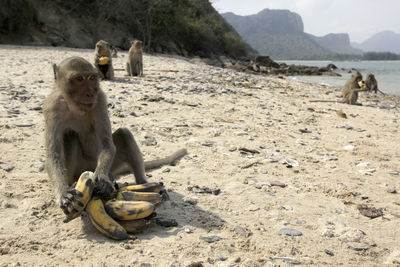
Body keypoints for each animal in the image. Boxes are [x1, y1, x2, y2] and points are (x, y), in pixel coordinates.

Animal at [43, 56, 188, 216]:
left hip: (111, 165)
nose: (90, 93)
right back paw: (72, 183)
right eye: (79, 79)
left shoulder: (100, 99)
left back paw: (144, 184)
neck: (75, 105)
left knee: (124, 134)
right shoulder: (51, 108)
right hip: (76, 170)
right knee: (70, 134)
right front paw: (63, 193)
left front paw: (102, 179)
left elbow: (107, 143)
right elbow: (54, 155)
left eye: (92, 78)